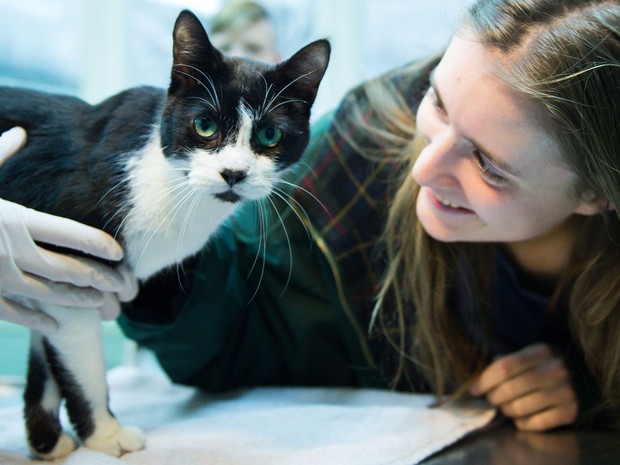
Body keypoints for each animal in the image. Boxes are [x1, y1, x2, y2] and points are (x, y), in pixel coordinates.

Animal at [0, 9, 330, 458]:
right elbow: (82, 361)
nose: (234, 173)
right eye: (205, 125)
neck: (169, 179)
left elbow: (47, 347)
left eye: (269, 135)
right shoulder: (71, 264)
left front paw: (47, 440)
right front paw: (105, 434)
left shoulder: (53, 284)